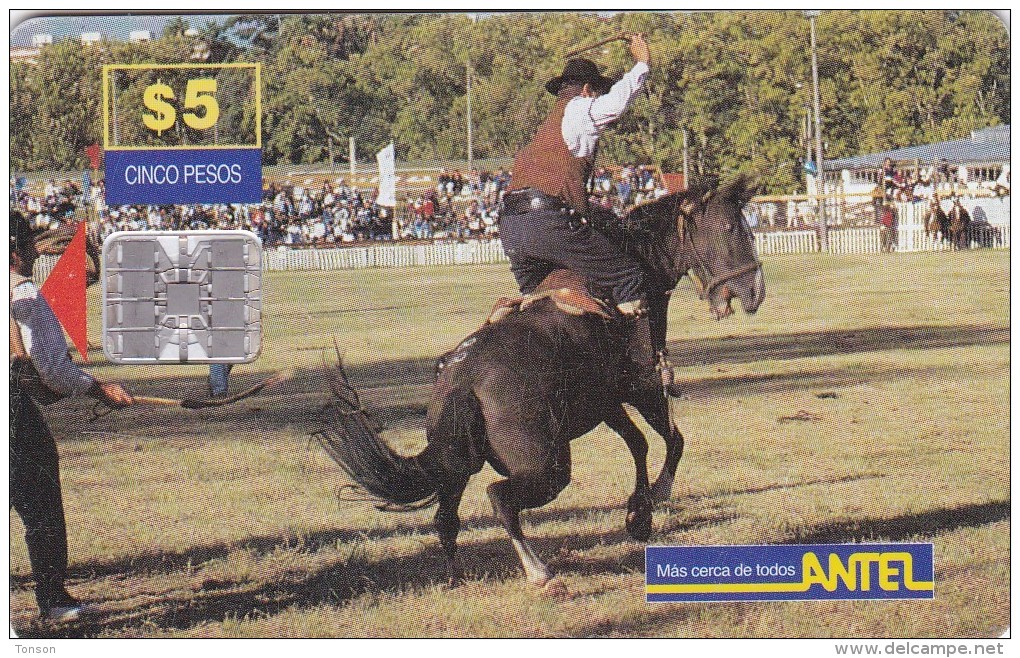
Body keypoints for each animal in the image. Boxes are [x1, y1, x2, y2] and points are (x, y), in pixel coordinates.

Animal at [320, 175, 767, 591]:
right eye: (729, 227)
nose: (755, 291)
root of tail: (461, 380)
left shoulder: (605, 401)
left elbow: (638, 444)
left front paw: (638, 515)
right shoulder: (641, 385)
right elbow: (673, 440)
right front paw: (655, 497)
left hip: (457, 464)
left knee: (446, 519)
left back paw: (456, 576)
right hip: (548, 466)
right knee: (499, 498)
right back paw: (539, 572)